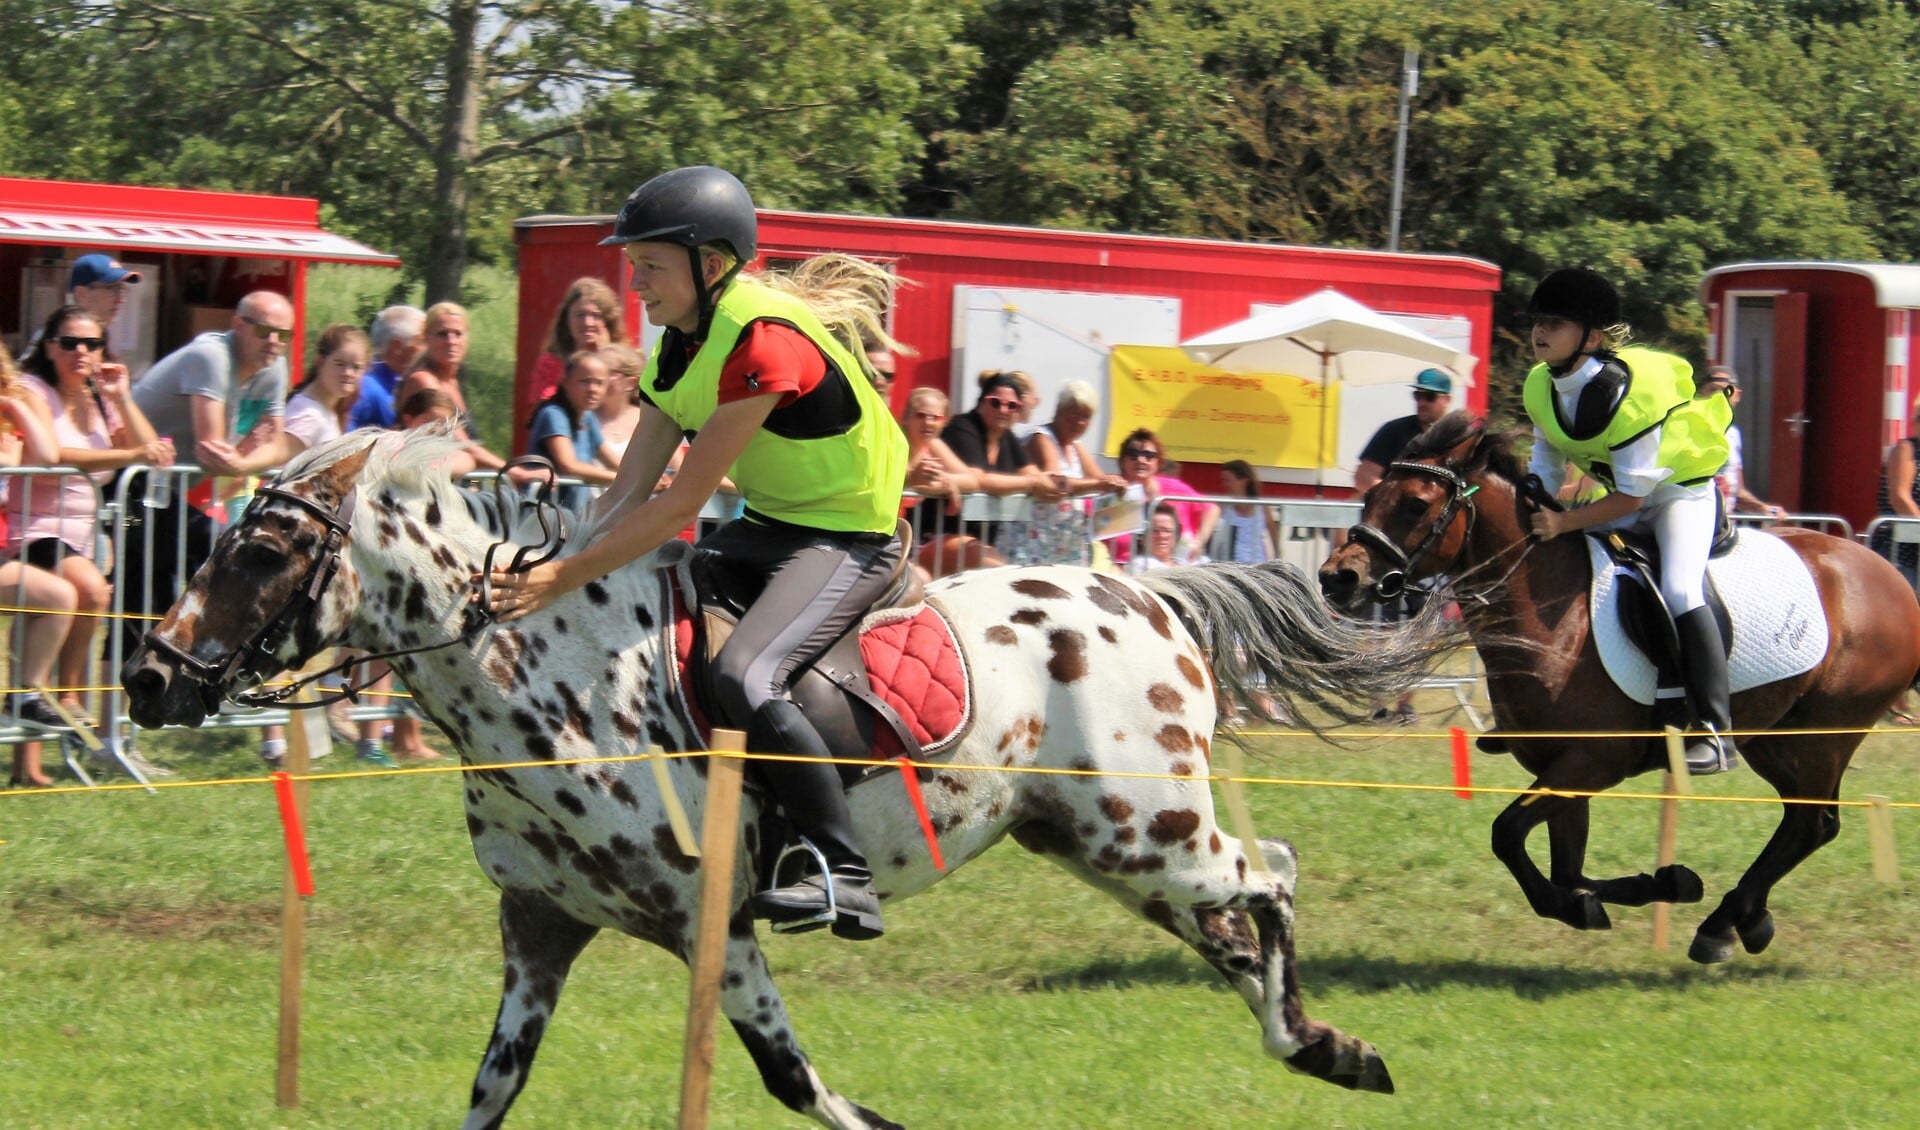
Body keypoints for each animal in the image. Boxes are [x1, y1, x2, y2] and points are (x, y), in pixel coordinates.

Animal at [127, 429, 1443, 1120]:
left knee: (1271, 876)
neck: (535, 673)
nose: (148, 676)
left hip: (1148, 825)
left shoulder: (714, 922)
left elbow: (788, 1074)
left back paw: (1308, 1040)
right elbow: (491, 1088)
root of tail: (1144, 587)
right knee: (1231, 924)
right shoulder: (542, 927)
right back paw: (1328, 1046)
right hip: (1101, 843)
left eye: (261, 549)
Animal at [1320, 412, 1920, 959]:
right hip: (1772, 737)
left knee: (1811, 824)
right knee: (1806, 819)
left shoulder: (1592, 762)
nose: (1337, 578)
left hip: (1824, 733)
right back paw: (1742, 919)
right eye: (1370, 495)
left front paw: (1598, 901)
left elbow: (1508, 835)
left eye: (1415, 505)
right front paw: (1655, 885)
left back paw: (1722, 924)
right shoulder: (1562, 770)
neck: (1550, 615)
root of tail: (1890, 575)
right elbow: (1564, 868)